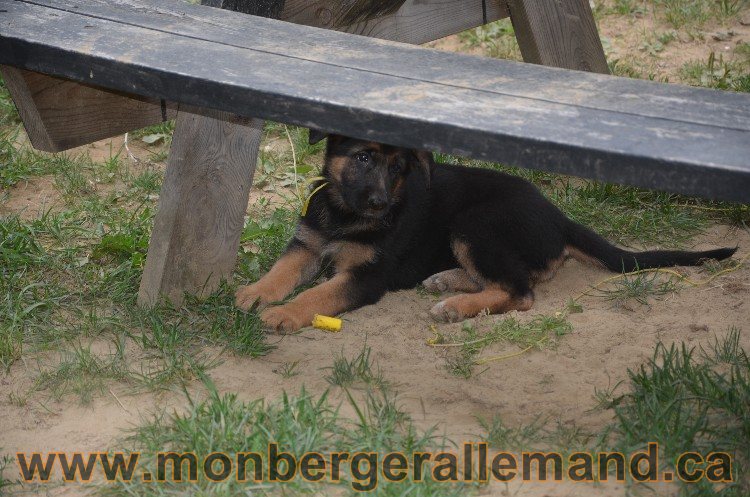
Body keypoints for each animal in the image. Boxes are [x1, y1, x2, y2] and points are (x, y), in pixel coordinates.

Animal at [236, 134, 740, 332]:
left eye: (399, 168)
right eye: (363, 158)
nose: (380, 205)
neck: (344, 213)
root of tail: (559, 216)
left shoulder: (367, 276)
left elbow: (317, 294)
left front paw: (284, 314)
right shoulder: (307, 243)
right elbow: (282, 271)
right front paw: (255, 293)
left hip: (475, 223)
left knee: (522, 290)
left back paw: (457, 305)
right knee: (523, 274)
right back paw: (450, 281)